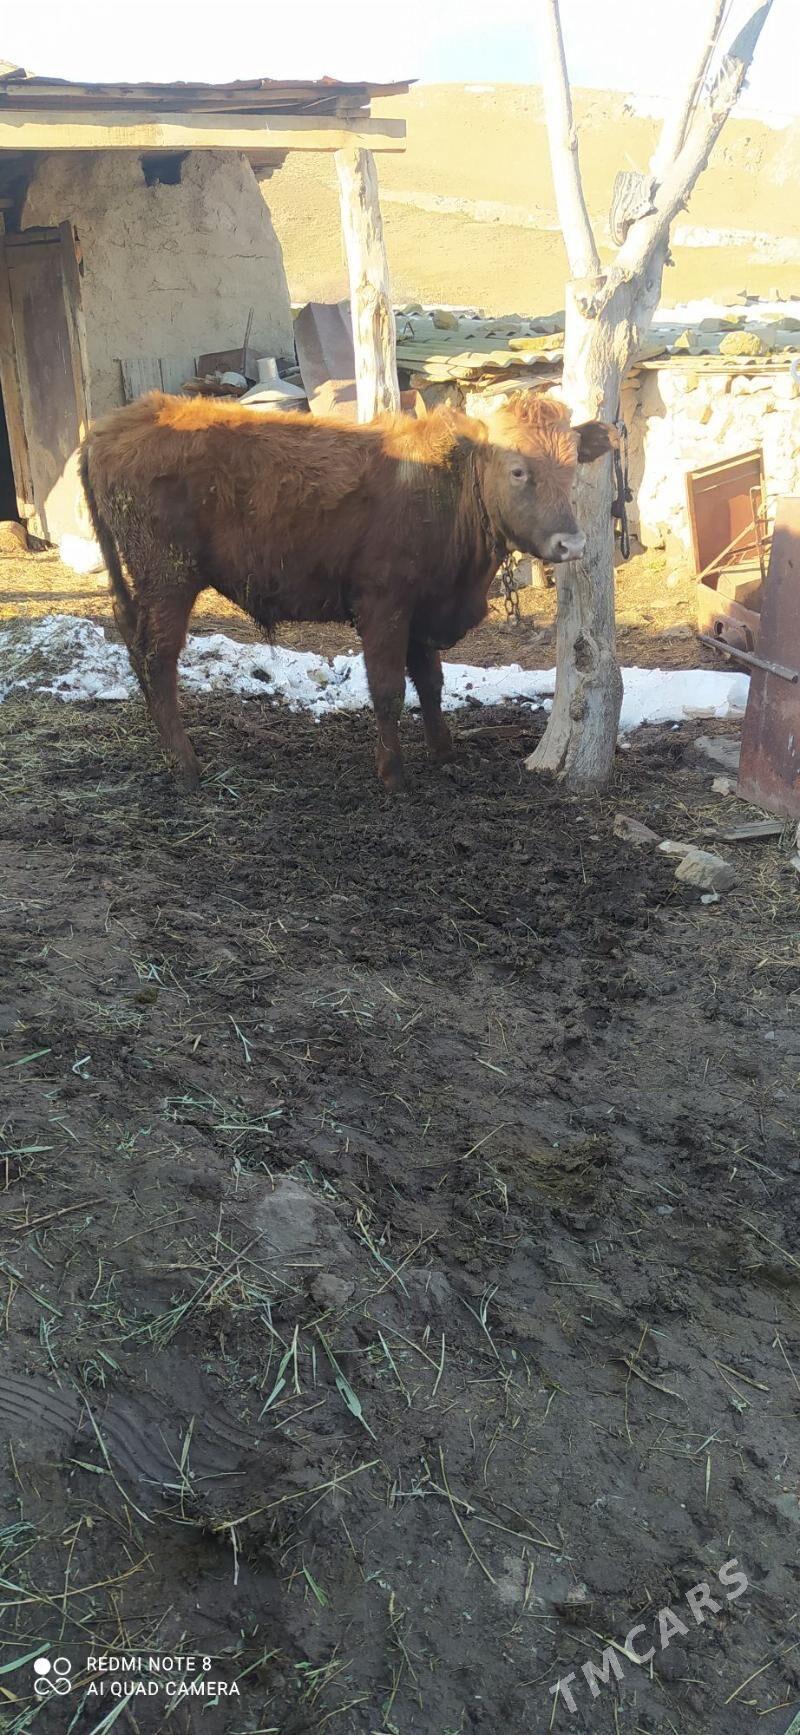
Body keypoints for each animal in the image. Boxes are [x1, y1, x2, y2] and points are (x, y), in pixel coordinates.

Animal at [80, 390, 616, 792]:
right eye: (518, 469)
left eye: (574, 465)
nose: (571, 543)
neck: (446, 488)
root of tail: (119, 420)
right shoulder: (384, 604)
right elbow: (389, 689)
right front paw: (393, 774)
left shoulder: (421, 609)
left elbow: (431, 682)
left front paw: (443, 751)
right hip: (168, 578)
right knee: (157, 658)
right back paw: (186, 764)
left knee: (136, 647)